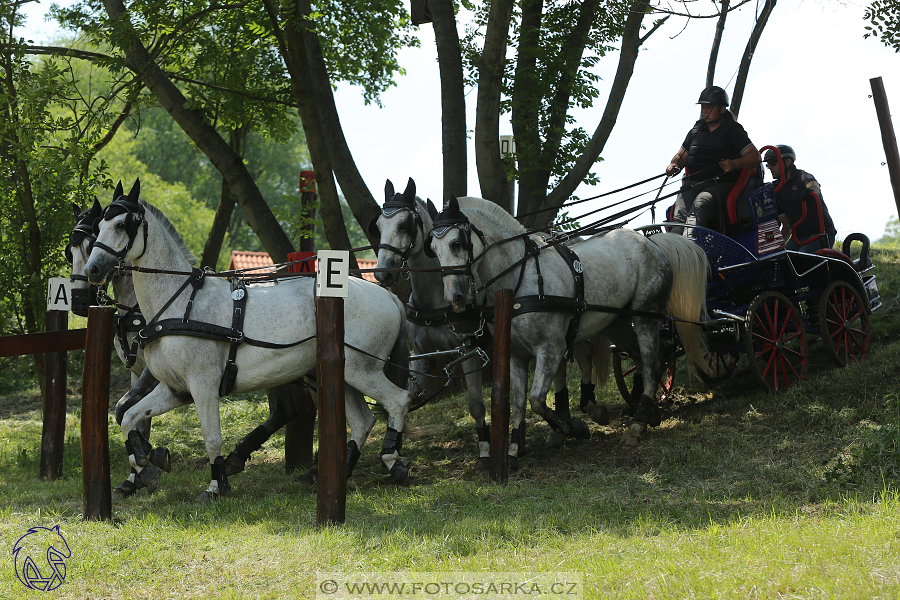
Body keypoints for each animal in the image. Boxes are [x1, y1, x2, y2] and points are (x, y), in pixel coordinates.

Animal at [82, 179, 414, 502]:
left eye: (123, 224)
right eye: (99, 225)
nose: (92, 270)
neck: (180, 303)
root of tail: (387, 295)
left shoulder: (203, 386)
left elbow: (212, 438)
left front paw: (215, 487)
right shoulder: (174, 389)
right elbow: (128, 417)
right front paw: (147, 464)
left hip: (362, 370)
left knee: (398, 401)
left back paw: (392, 461)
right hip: (342, 375)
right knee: (363, 421)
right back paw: (339, 473)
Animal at [370, 178, 608, 468]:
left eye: (404, 224)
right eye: (379, 225)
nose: (383, 273)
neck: (435, 302)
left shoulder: (468, 352)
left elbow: (475, 404)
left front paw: (485, 451)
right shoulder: (422, 356)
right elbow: (405, 397)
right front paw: (392, 449)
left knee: (583, 354)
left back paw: (587, 412)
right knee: (561, 364)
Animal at [428, 197, 712, 464]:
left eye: (457, 242)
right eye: (432, 249)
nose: (455, 297)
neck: (519, 281)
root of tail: (651, 242)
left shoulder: (551, 349)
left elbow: (537, 400)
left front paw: (573, 427)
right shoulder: (515, 355)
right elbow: (519, 403)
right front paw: (514, 450)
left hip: (646, 316)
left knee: (653, 363)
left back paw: (637, 425)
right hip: (617, 323)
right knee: (644, 359)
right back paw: (649, 412)